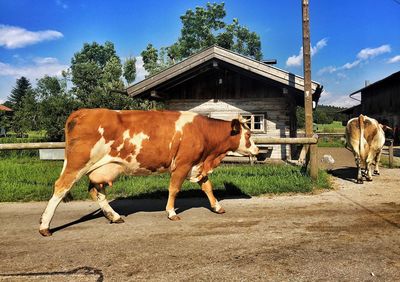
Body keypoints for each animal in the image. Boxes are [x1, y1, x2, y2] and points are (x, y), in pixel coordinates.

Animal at [39, 109, 260, 237]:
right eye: (249, 134)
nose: (258, 150)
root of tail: (81, 112)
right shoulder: (182, 164)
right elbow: (174, 189)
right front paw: (171, 212)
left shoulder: (196, 165)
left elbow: (207, 186)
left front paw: (217, 206)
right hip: (77, 164)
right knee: (60, 188)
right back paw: (44, 227)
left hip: (100, 169)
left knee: (96, 192)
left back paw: (114, 216)